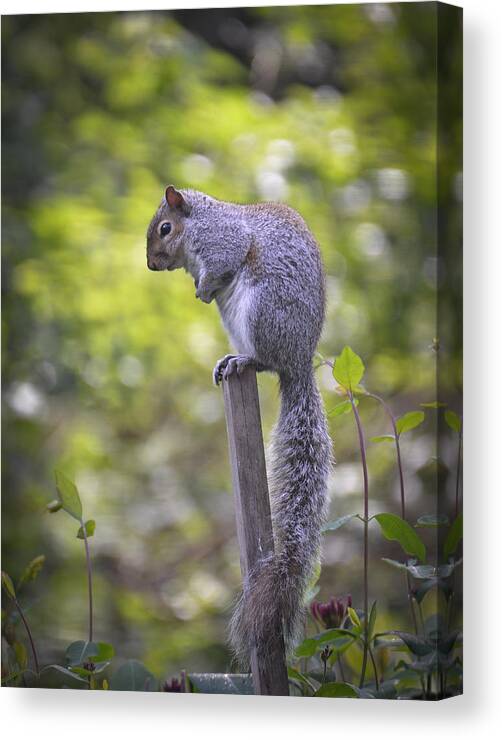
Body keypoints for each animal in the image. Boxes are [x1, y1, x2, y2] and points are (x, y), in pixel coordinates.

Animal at [146, 186, 334, 664]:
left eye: (165, 229)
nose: (152, 264)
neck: (199, 226)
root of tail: (298, 363)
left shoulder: (224, 243)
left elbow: (223, 264)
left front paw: (202, 288)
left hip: (261, 310)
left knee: (264, 360)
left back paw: (243, 361)